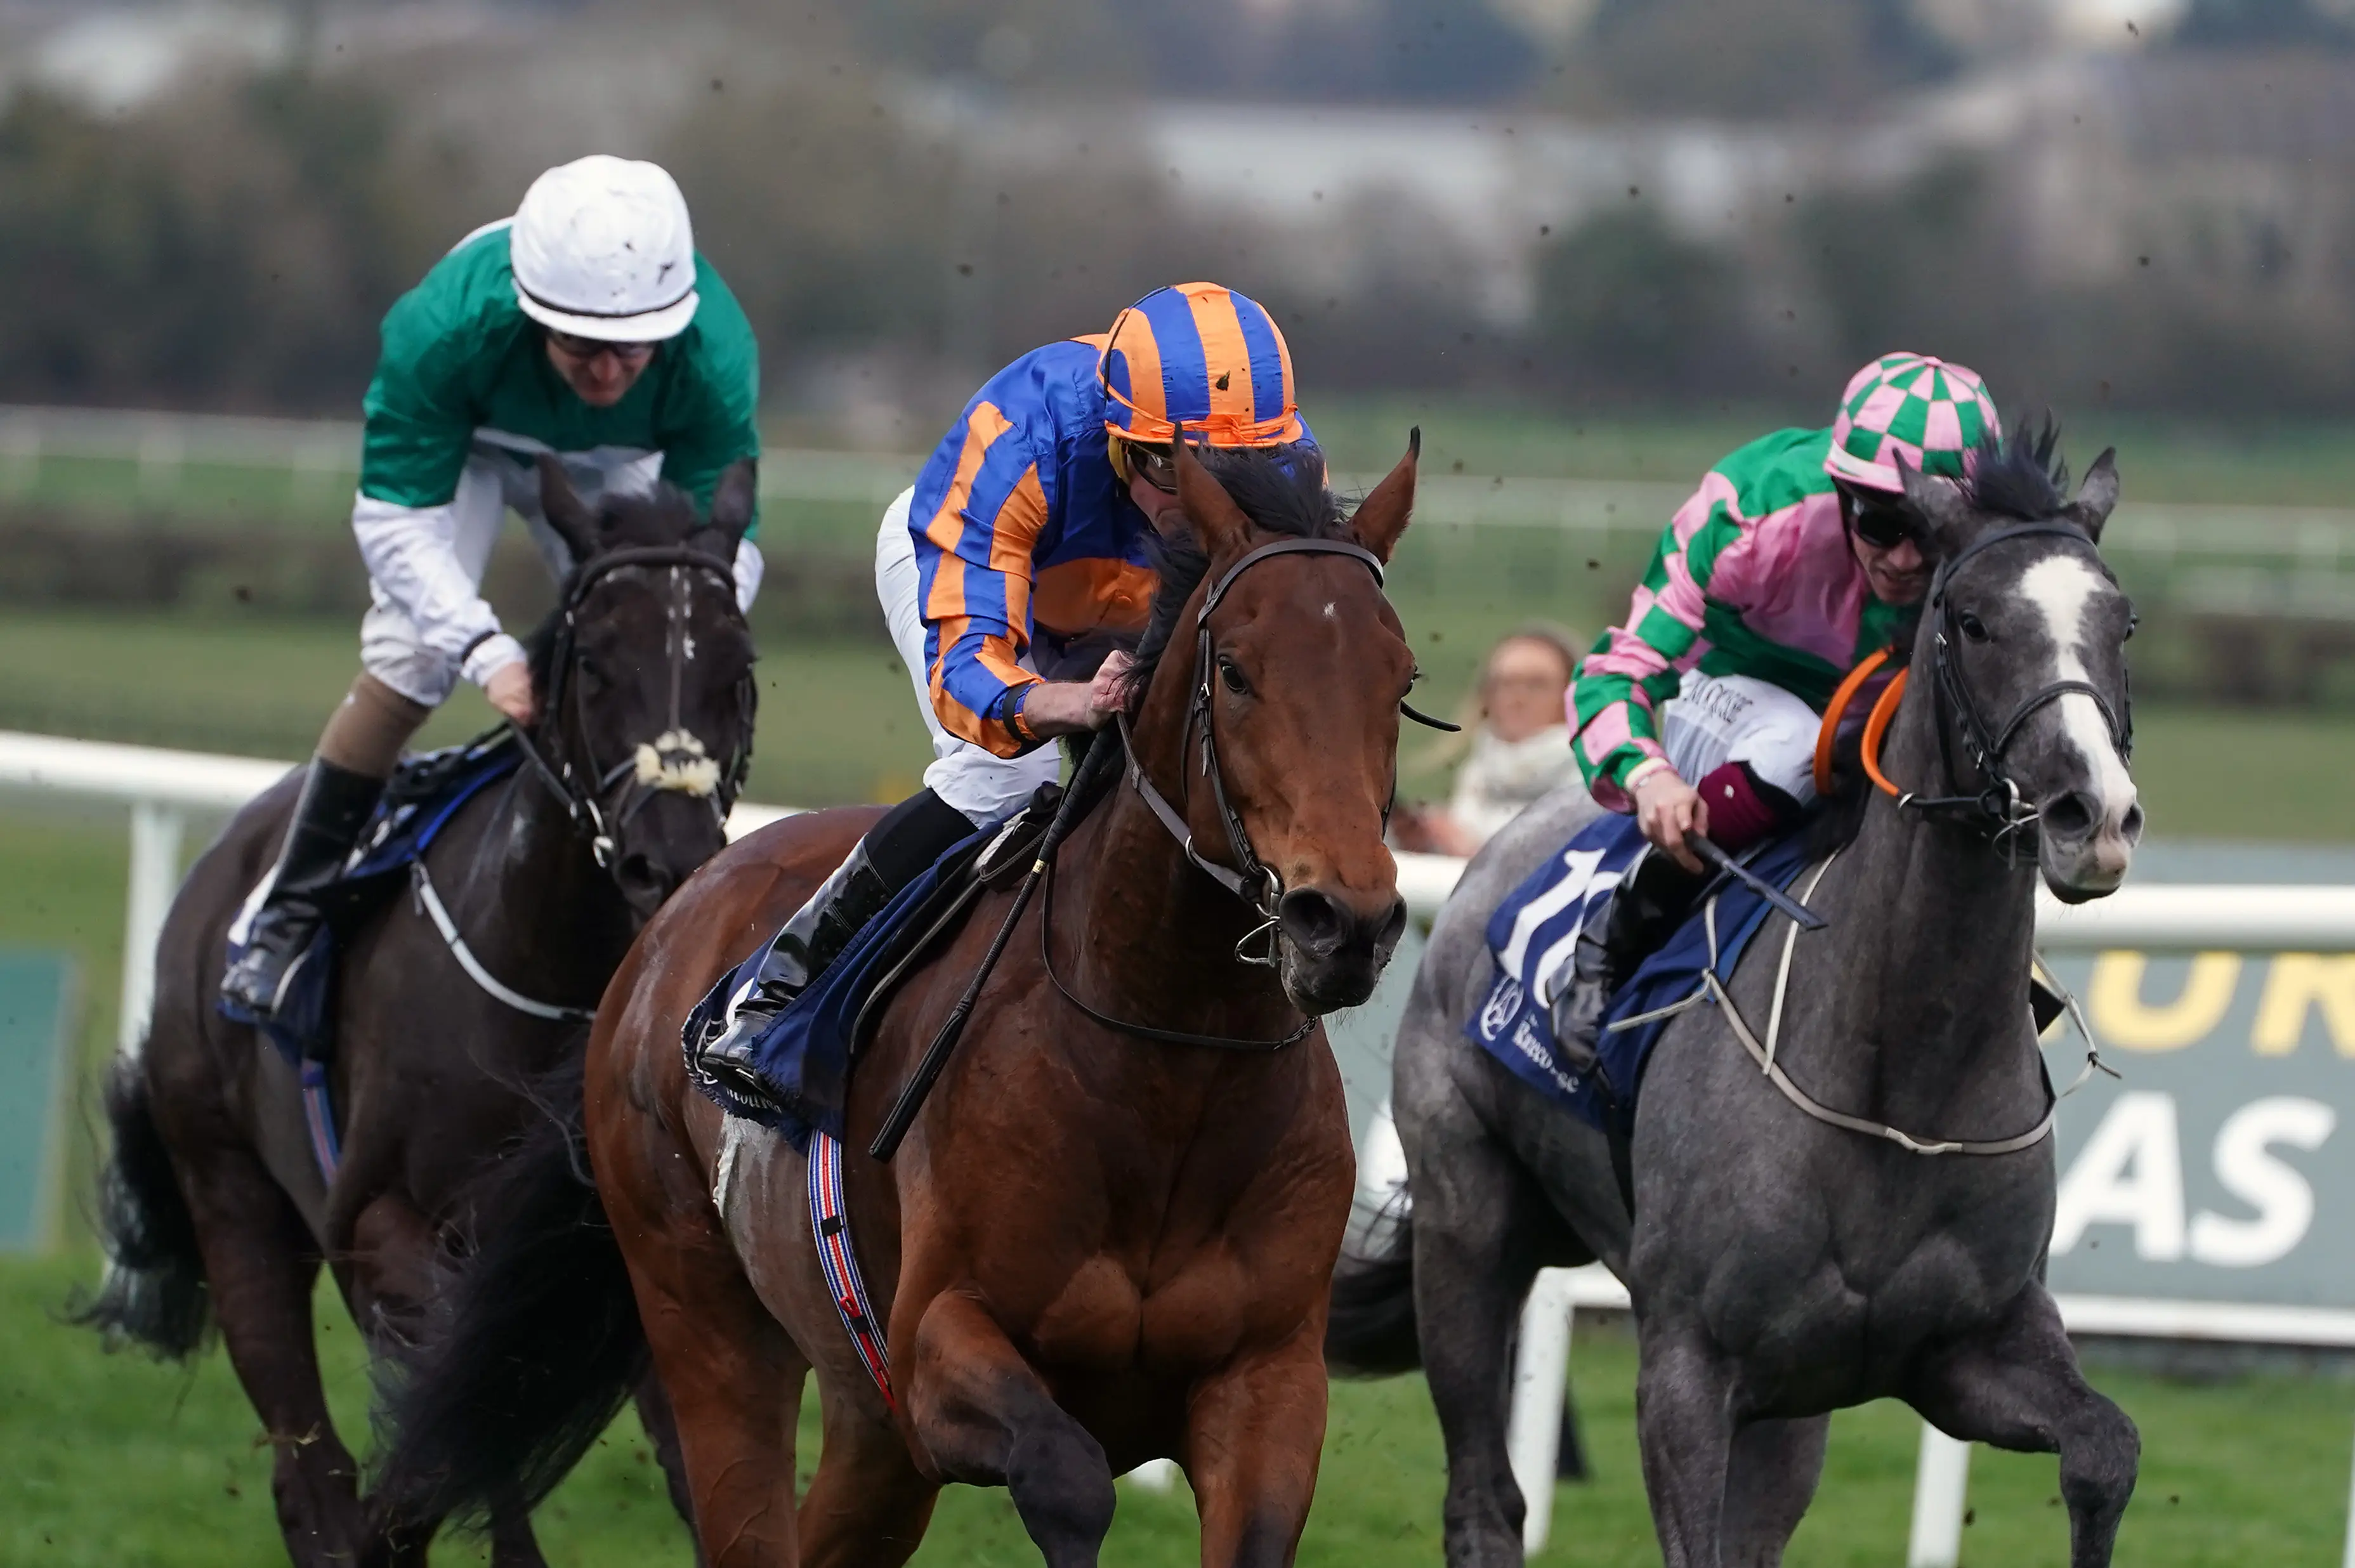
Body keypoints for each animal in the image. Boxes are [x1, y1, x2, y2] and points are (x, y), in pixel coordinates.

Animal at [76, 456, 760, 1567]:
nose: (669, 858)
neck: (545, 974)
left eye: (738, 671)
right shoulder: (381, 1228)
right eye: (595, 663)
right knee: (311, 1475)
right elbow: (456, 1428)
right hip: (234, 1199)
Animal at [368, 434, 1424, 1564]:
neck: (1166, 1065)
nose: (1343, 922)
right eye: (1235, 673)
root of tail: (671, 914)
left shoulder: (1270, 1381)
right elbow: (1067, 1480)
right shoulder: (932, 1351)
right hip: (705, 1315)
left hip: (865, 1424)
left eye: (1401, 678)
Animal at [1327, 428, 2145, 1568]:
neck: (1900, 1072)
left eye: (2122, 621)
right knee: (1482, 1502)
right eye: (1974, 619)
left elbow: (2105, 1450)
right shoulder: (1687, 1362)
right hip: (1466, 1228)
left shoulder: (1966, 1346)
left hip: (1793, 1396)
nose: (2092, 815)